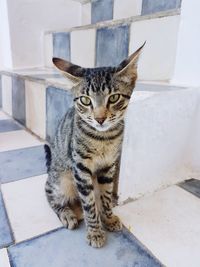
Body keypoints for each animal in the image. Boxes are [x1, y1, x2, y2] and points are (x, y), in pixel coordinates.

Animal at [44, 43, 144, 249]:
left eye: (113, 98)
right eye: (85, 100)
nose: (100, 119)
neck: (103, 139)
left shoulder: (108, 166)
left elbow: (105, 197)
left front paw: (109, 218)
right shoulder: (80, 168)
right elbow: (89, 204)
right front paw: (95, 232)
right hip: (61, 180)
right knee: (49, 193)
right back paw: (68, 214)